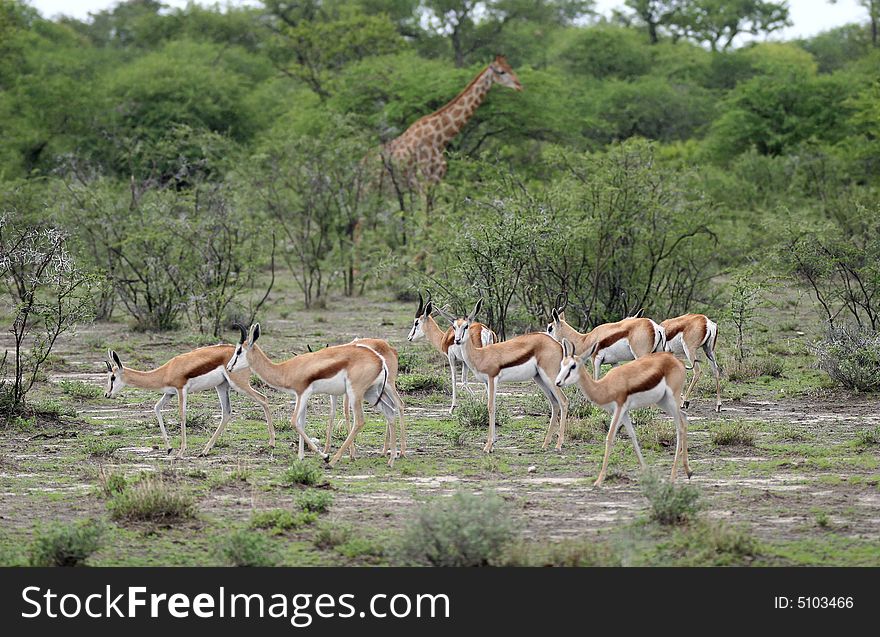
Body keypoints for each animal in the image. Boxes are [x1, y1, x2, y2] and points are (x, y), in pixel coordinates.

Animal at [101, 330, 272, 460]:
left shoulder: (181, 390)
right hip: (221, 386)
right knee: (227, 412)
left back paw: (272, 443)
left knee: (263, 399)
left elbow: (182, 415)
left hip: (240, 385)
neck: (166, 371)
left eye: (113, 377)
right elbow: (156, 408)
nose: (106, 394)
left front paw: (180, 452)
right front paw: (169, 449)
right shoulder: (169, 393)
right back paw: (204, 451)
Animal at [227, 322, 406, 468]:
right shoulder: (300, 396)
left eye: (239, 350)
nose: (228, 367)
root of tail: (379, 359)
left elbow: (294, 422)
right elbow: (302, 422)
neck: (285, 370)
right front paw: (300, 457)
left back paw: (334, 461)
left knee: (361, 420)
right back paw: (391, 459)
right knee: (390, 411)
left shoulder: (303, 393)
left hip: (356, 393)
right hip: (372, 392)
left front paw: (324, 455)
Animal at [380, 55, 524, 193]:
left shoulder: (436, 179)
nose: (519, 85)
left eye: (510, 67)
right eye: (502, 71)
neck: (438, 139)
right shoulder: (424, 180)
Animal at [450, 298, 568, 452]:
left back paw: (558, 445)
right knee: (554, 403)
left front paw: (488, 446)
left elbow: (491, 407)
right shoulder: (487, 382)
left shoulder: (492, 379)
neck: (481, 355)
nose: (457, 340)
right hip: (539, 378)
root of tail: (557, 344)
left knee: (564, 401)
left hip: (550, 377)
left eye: (466, 326)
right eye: (454, 327)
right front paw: (492, 443)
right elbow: (492, 406)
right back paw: (545, 444)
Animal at [552, 340, 692, 484]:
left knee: (680, 427)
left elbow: (610, 437)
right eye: (562, 364)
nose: (557, 382)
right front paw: (646, 471)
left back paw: (673, 477)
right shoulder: (624, 412)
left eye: (573, 366)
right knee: (684, 416)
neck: (605, 387)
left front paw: (599, 481)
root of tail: (678, 361)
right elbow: (632, 436)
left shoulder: (619, 409)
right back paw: (688, 471)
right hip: (663, 402)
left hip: (671, 400)